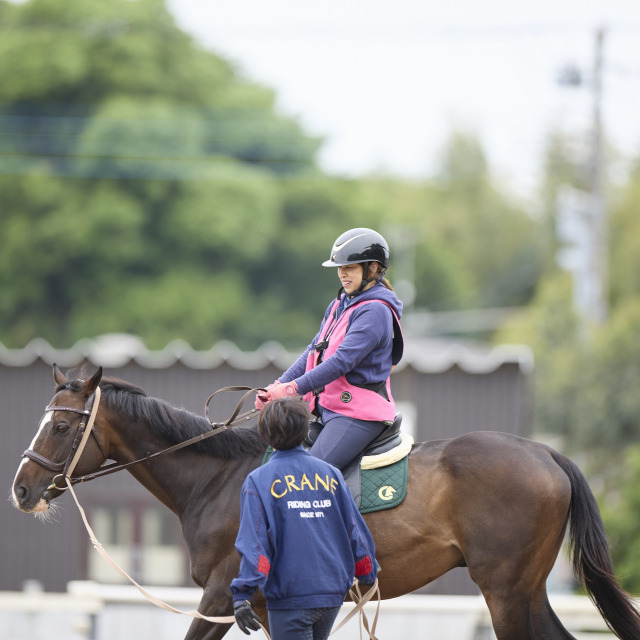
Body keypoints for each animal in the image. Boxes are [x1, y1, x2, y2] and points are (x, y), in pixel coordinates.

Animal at [10, 365, 640, 640]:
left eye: (62, 427)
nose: (21, 488)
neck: (218, 479)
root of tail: (544, 452)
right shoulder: (277, 608)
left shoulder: (220, 597)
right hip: (526, 591)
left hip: (505, 593)